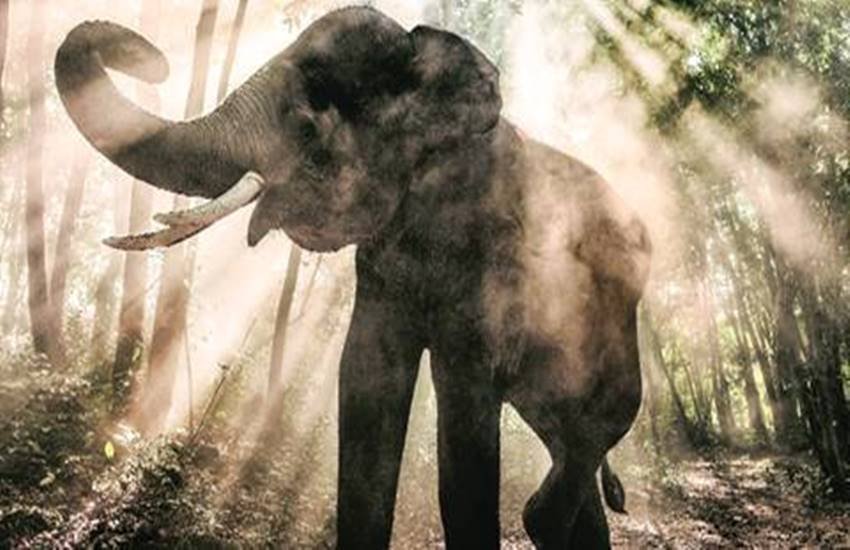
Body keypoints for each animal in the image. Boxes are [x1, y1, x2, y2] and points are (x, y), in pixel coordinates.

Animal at [55, 6, 651, 549]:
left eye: (306, 126)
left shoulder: (492, 254)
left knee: (594, 430)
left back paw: (542, 508)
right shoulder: (382, 259)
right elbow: (367, 379)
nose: (153, 63)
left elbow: (463, 409)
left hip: (616, 327)